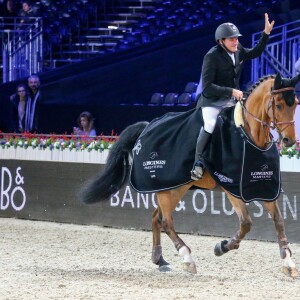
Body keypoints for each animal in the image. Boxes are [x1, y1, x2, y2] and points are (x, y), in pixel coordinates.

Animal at [81, 73, 298, 278]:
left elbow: (279, 222)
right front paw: (221, 247)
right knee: (166, 222)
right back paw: (187, 258)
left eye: (295, 103)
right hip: (168, 187)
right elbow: (246, 223)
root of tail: (147, 126)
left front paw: (288, 263)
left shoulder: (265, 186)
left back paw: (160, 260)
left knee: (157, 217)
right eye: (278, 104)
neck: (249, 134)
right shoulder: (232, 188)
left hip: (174, 187)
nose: (289, 140)